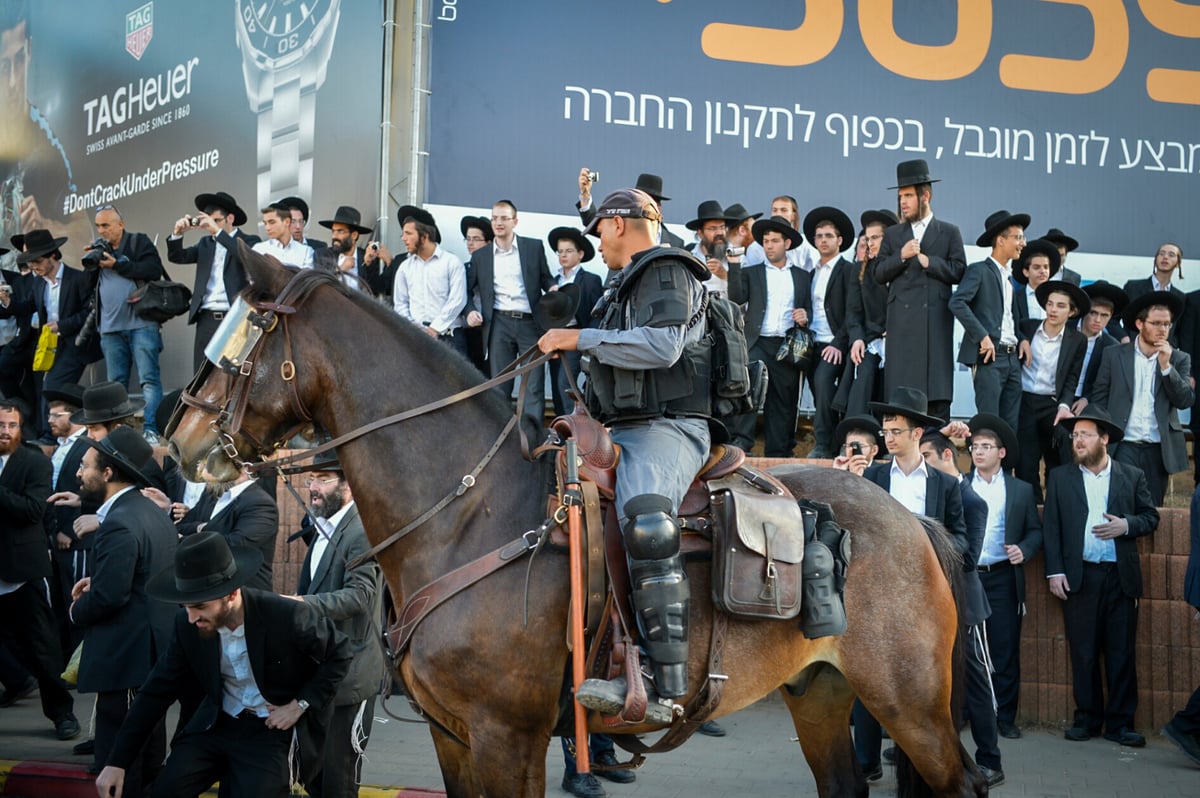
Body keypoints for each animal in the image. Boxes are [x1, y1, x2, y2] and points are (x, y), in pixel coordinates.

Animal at [171, 246, 984, 792]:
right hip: (820, 693)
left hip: (912, 706)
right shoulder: (454, 737)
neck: (470, 516)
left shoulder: (507, 737)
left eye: (242, 331)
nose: (179, 439)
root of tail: (911, 523)